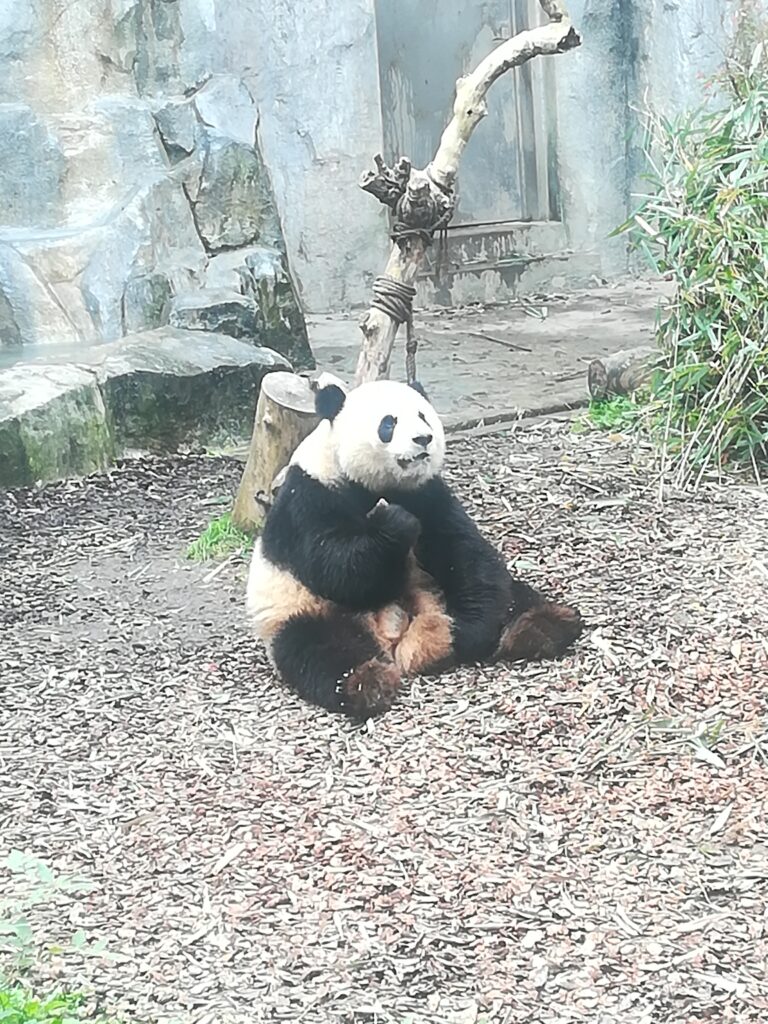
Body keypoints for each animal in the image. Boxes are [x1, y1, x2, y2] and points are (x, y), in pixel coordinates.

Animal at [246, 378, 583, 719]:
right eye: (388, 423)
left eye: (423, 416)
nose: (423, 439)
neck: (373, 484)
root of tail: (395, 635)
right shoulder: (309, 498)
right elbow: (336, 570)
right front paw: (393, 524)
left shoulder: (427, 493)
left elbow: (462, 550)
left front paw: (470, 632)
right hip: (303, 612)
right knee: (319, 650)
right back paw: (368, 683)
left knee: (513, 596)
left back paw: (540, 627)